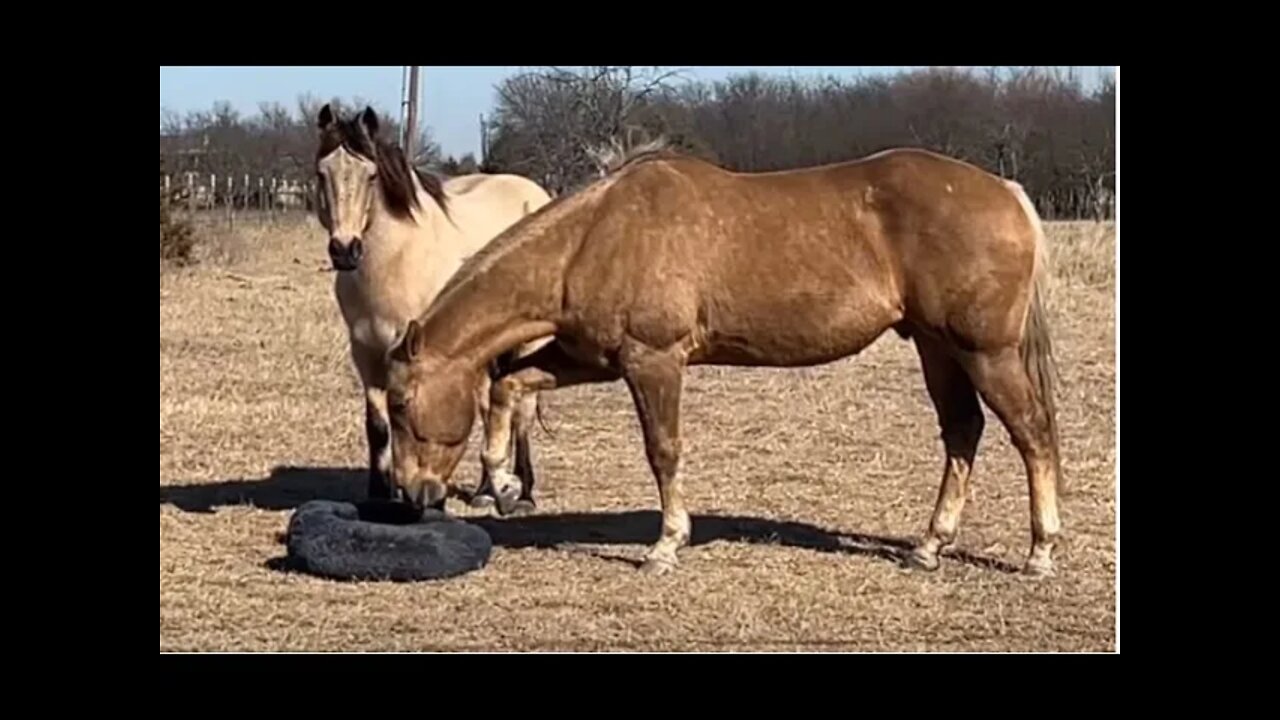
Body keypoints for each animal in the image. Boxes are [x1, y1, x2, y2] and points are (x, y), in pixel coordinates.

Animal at [384, 141, 1064, 576]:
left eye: (400, 404)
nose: (411, 497)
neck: (596, 236)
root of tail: (1007, 192)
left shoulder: (653, 361)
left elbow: (663, 451)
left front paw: (666, 546)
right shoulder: (594, 357)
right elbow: (508, 382)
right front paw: (501, 482)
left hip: (985, 351)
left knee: (1031, 434)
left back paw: (1040, 551)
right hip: (935, 346)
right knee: (963, 431)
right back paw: (929, 545)